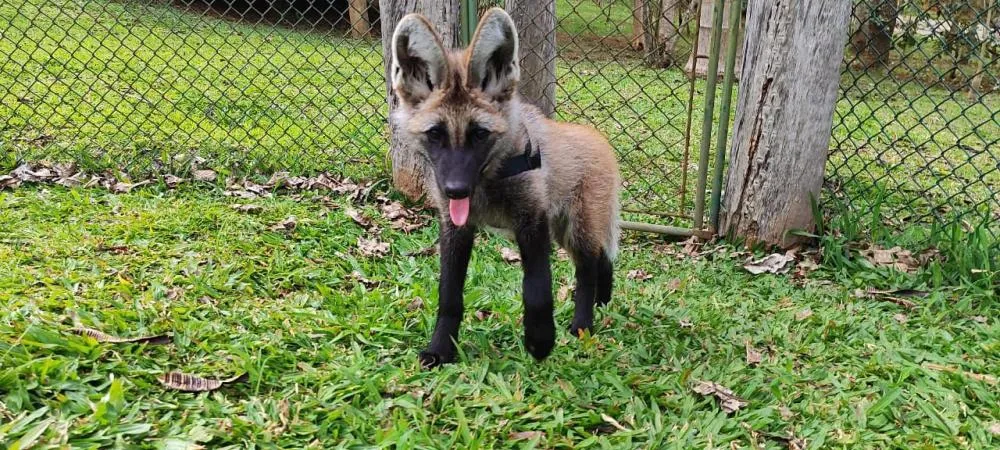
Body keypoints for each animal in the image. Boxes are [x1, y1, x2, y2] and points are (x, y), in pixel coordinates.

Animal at [389, 7, 621, 368]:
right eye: (436, 134)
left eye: (479, 134)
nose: (456, 190)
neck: (490, 181)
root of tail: (599, 139)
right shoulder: (456, 228)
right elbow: (449, 297)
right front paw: (441, 348)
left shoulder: (532, 221)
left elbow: (537, 291)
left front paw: (540, 341)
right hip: (565, 232)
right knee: (600, 262)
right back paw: (601, 303)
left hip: (577, 229)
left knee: (588, 269)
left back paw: (582, 324)